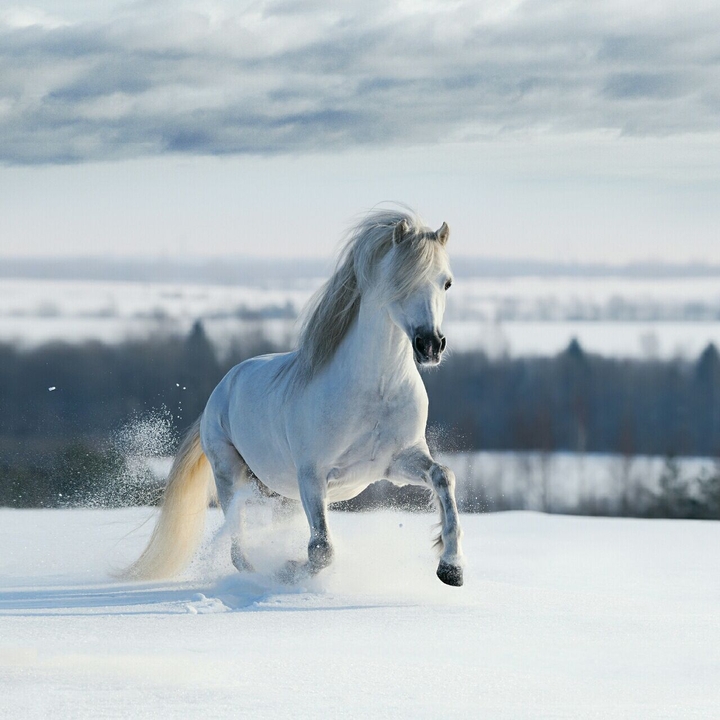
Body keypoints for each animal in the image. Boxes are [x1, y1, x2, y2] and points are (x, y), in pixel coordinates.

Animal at [124, 208, 464, 586]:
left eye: (446, 283)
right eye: (400, 280)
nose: (430, 345)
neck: (376, 391)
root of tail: (222, 388)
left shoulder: (396, 462)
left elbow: (444, 476)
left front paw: (451, 567)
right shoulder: (312, 476)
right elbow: (321, 550)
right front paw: (289, 570)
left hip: (281, 493)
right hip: (231, 475)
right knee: (237, 546)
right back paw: (258, 575)